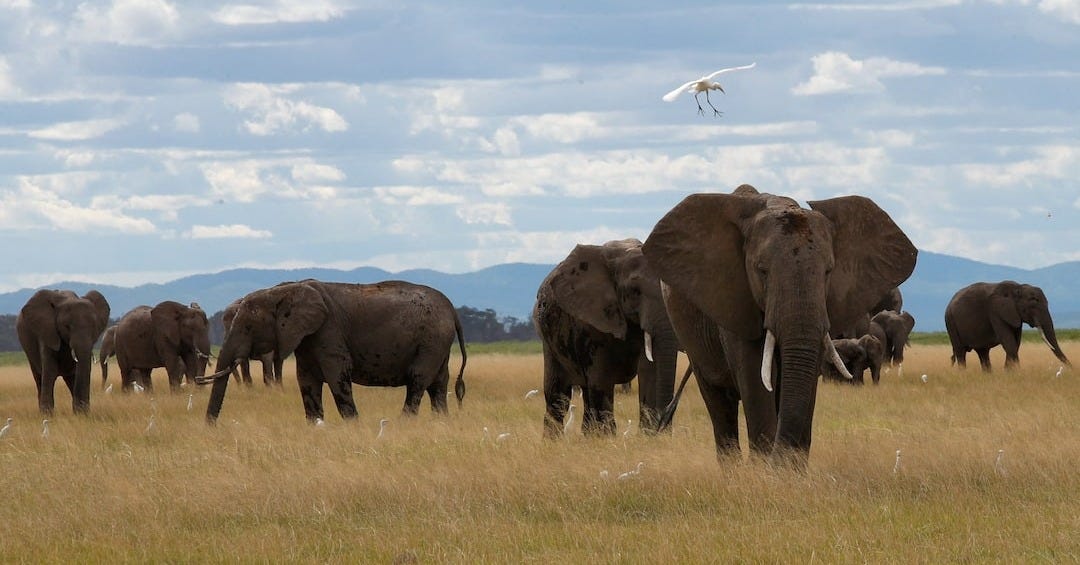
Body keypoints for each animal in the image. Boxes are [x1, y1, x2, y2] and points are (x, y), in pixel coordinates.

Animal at [200, 280, 467, 424]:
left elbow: (338, 376)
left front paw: (354, 426)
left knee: (417, 381)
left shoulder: (329, 331)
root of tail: (453, 310)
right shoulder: (306, 340)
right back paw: (441, 422)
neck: (283, 290)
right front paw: (315, 426)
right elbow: (306, 382)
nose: (211, 427)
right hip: (437, 343)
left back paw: (403, 423)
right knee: (438, 386)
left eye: (248, 327)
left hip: (431, 340)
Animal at [533, 239, 677, 438]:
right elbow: (601, 378)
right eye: (635, 291)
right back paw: (553, 440)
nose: (662, 428)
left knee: (586, 392)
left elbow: (650, 370)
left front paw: (647, 436)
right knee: (558, 395)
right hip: (547, 335)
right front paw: (608, 438)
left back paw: (588, 435)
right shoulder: (591, 319)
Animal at [642, 184, 917, 461]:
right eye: (761, 271)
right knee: (719, 404)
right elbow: (756, 379)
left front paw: (789, 467)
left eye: (828, 271)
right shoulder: (735, 301)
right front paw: (766, 466)